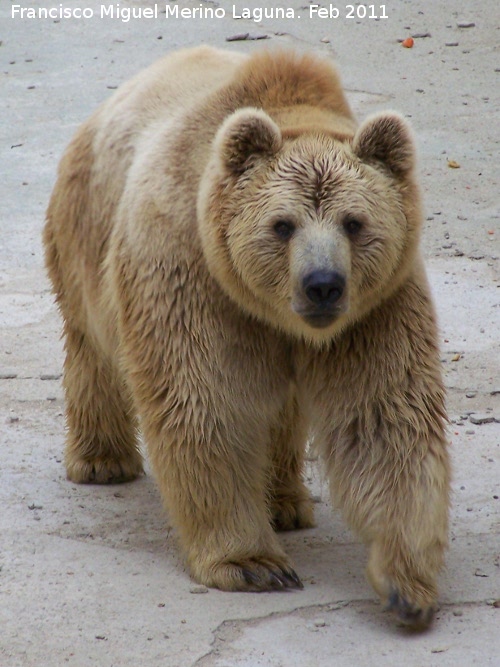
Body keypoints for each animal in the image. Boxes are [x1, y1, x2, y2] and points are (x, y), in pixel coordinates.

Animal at [43, 47, 450, 632]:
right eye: (282, 224)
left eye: (353, 222)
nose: (322, 284)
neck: (274, 313)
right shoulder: (191, 268)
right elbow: (205, 401)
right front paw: (254, 564)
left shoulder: (374, 309)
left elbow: (384, 418)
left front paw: (406, 584)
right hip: (85, 234)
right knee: (93, 348)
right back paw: (103, 461)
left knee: (285, 409)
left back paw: (284, 501)